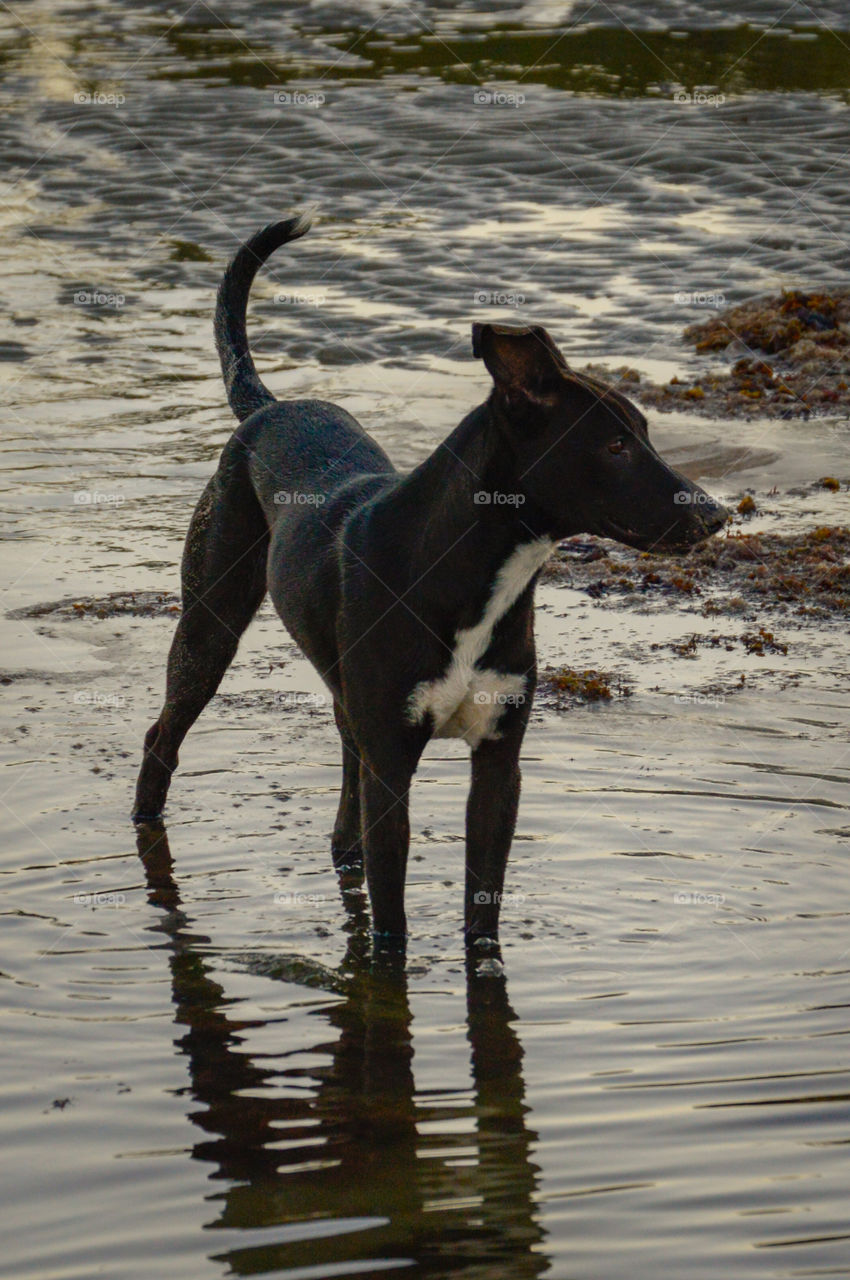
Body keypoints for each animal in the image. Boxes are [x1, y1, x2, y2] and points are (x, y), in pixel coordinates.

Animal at [136, 215, 727, 947]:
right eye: (615, 446)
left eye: (645, 432)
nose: (716, 515)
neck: (470, 574)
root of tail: (268, 409)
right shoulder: (393, 765)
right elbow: (391, 926)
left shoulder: (499, 763)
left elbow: (483, 906)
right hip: (209, 621)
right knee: (162, 735)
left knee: (343, 780)